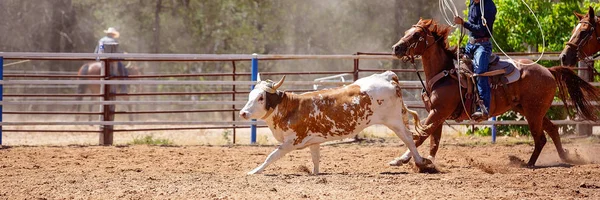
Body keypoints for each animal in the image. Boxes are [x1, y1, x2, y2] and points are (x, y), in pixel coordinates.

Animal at [240, 71, 436, 174]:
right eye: (250, 95)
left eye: (260, 97)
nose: (242, 113)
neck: (291, 107)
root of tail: (387, 76)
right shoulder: (314, 141)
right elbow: (315, 158)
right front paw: (316, 173)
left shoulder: (291, 142)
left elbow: (271, 156)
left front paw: (255, 171)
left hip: (394, 121)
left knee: (409, 138)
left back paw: (420, 162)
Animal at [392, 19, 596, 167]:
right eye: (406, 32)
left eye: (416, 34)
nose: (396, 48)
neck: (444, 74)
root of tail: (548, 70)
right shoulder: (437, 114)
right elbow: (433, 141)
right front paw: (428, 161)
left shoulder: (438, 112)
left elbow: (419, 136)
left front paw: (403, 160)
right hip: (530, 111)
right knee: (552, 130)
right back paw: (565, 157)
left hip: (533, 113)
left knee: (540, 138)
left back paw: (528, 164)